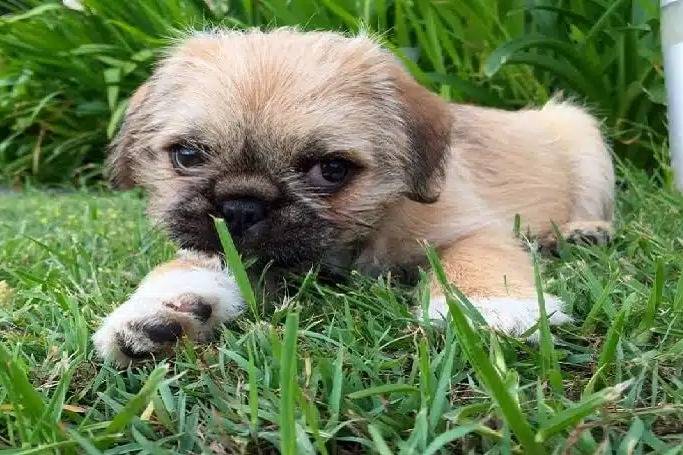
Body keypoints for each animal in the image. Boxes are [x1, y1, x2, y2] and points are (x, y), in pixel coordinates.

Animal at [92, 28, 616, 366]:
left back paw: (584, 232)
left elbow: (476, 259)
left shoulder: (472, 229)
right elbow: (184, 266)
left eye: (332, 169)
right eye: (187, 155)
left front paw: (489, 309)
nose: (240, 207)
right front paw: (161, 312)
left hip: (585, 138)